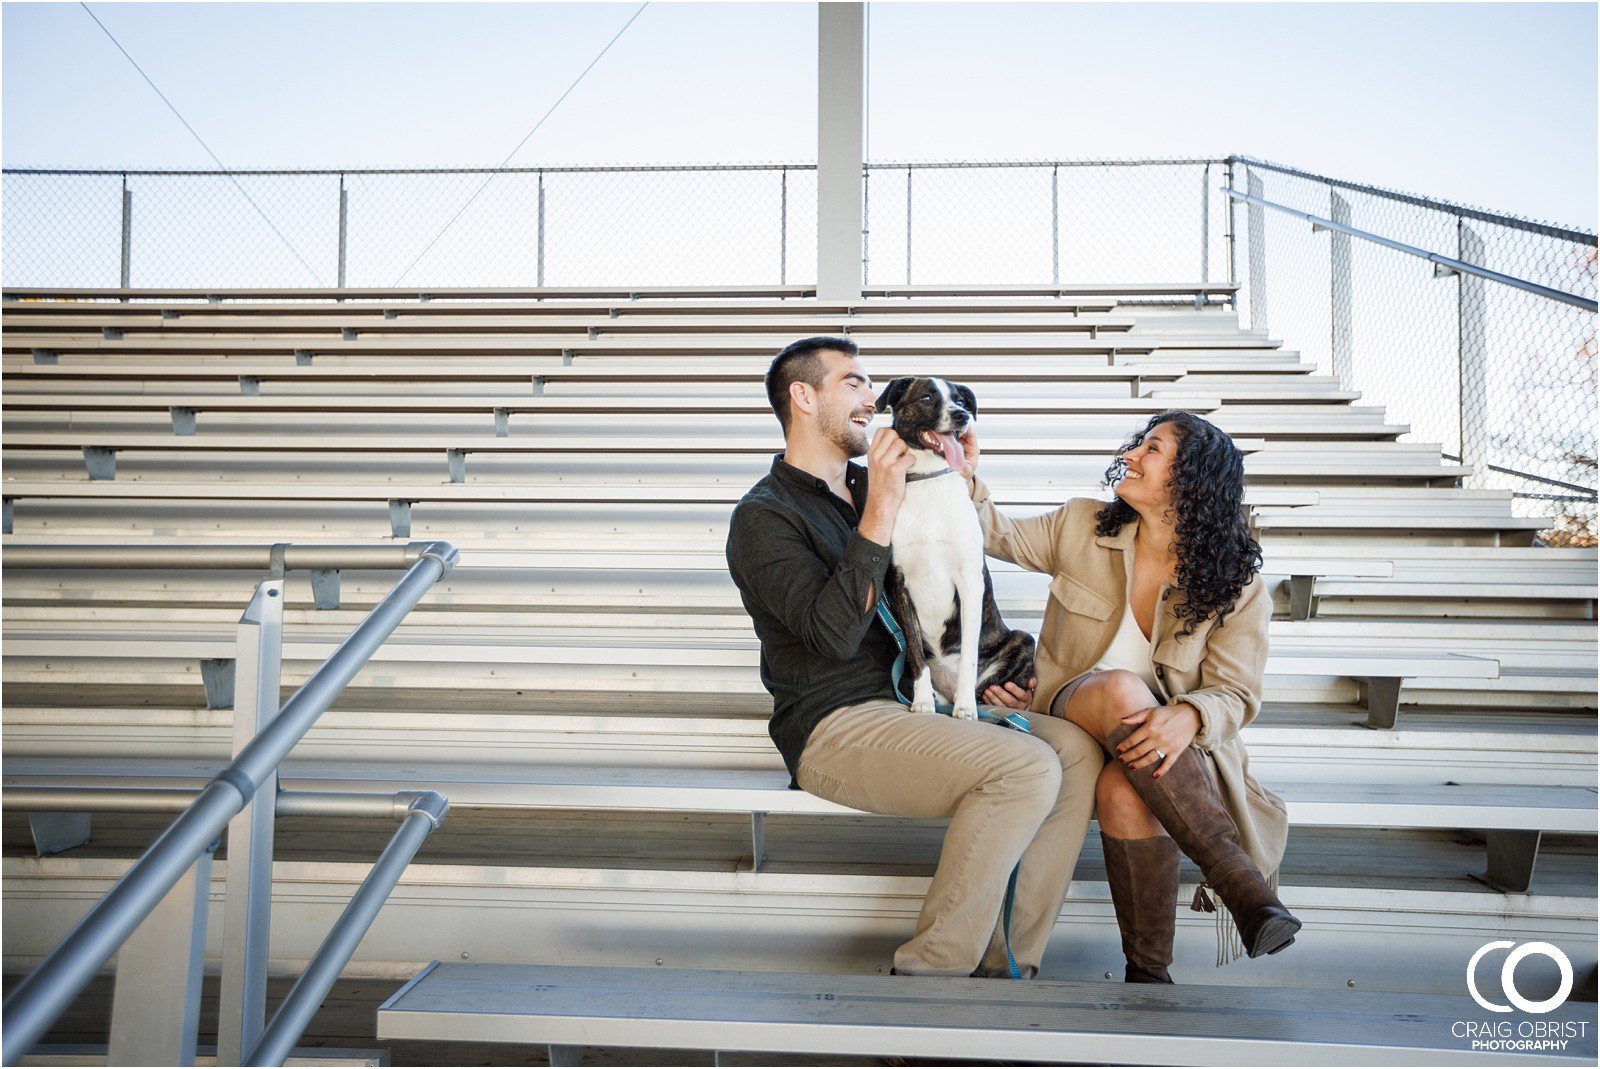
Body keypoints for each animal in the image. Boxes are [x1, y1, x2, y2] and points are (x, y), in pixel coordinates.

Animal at [876, 376, 1036, 716]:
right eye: (926, 397)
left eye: (960, 400)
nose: (962, 416)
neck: (928, 479)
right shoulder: (899, 584)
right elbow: (915, 655)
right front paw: (922, 700)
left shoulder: (969, 582)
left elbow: (969, 659)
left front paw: (966, 709)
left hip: (1022, 640)